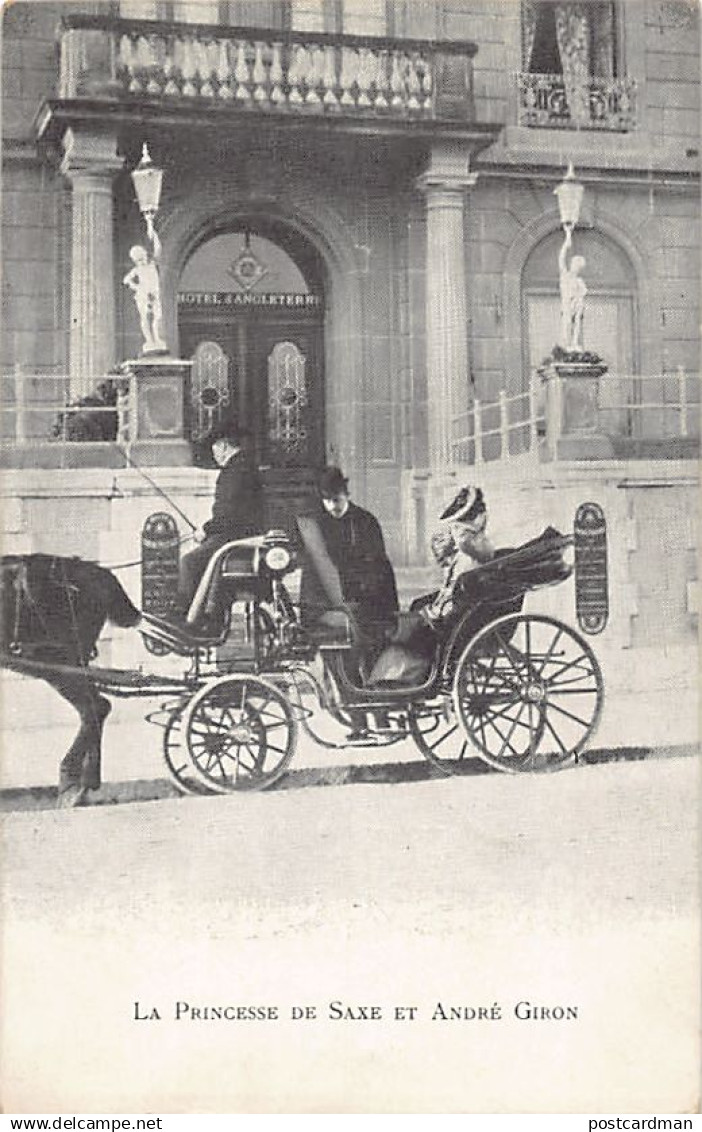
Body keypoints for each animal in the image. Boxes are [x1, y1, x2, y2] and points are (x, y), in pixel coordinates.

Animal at [0, 554, 140, 805]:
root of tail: (99, 573)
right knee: (96, 707)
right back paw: (86, 783)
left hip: (59, 662)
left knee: (94, 707)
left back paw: (71, 783)